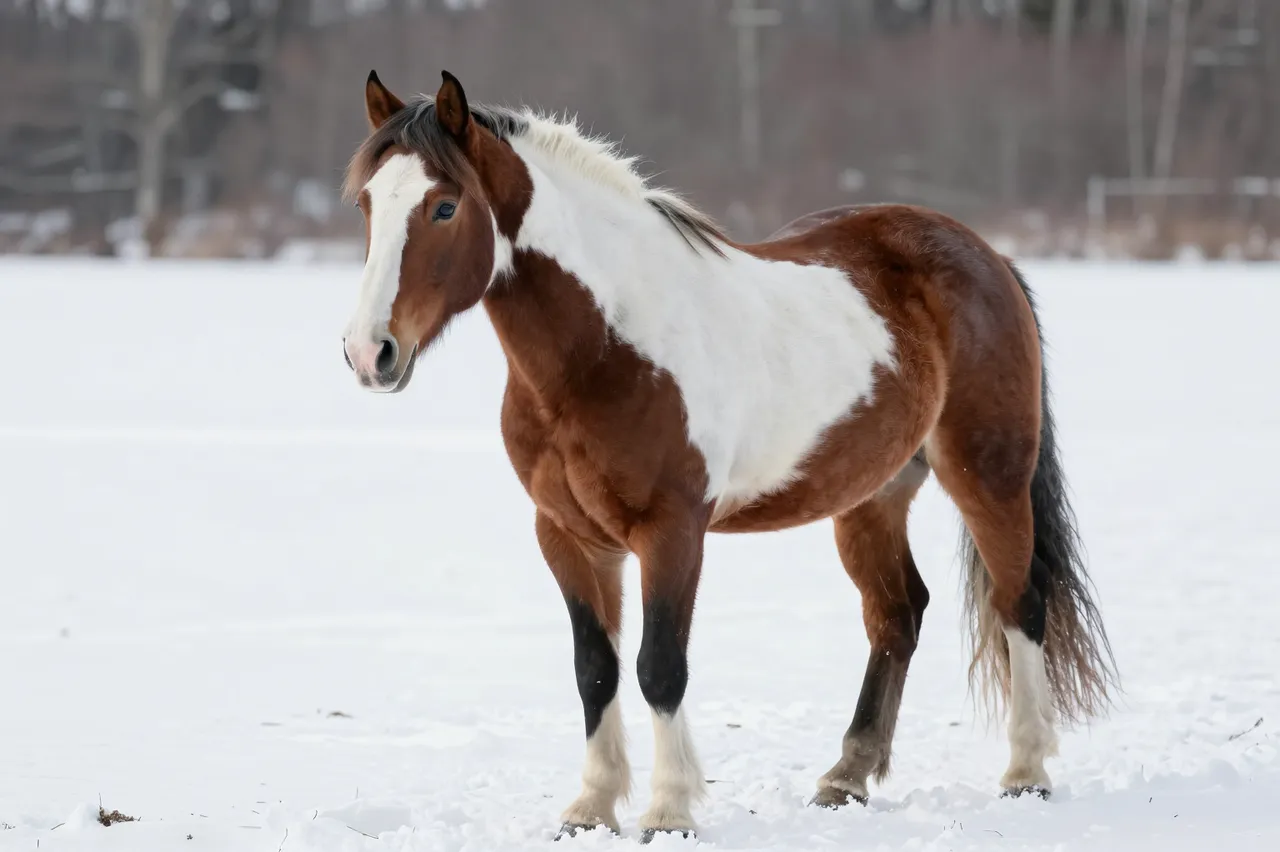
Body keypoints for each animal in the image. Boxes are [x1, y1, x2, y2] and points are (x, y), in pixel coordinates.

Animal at [340, 69, 1117, 842]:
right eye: (367, 202)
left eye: (444, 206)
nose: (370, 352)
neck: (605, 348)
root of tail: (987, 256)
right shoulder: (566, 535)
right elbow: (595, 669)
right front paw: (591, 807)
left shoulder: (672, 531)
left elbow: (659, 666)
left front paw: (668, 811)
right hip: (871, 497)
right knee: (897, 615)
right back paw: (846, 777)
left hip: (988, 477)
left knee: (1020, 602)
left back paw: (1025, 771)